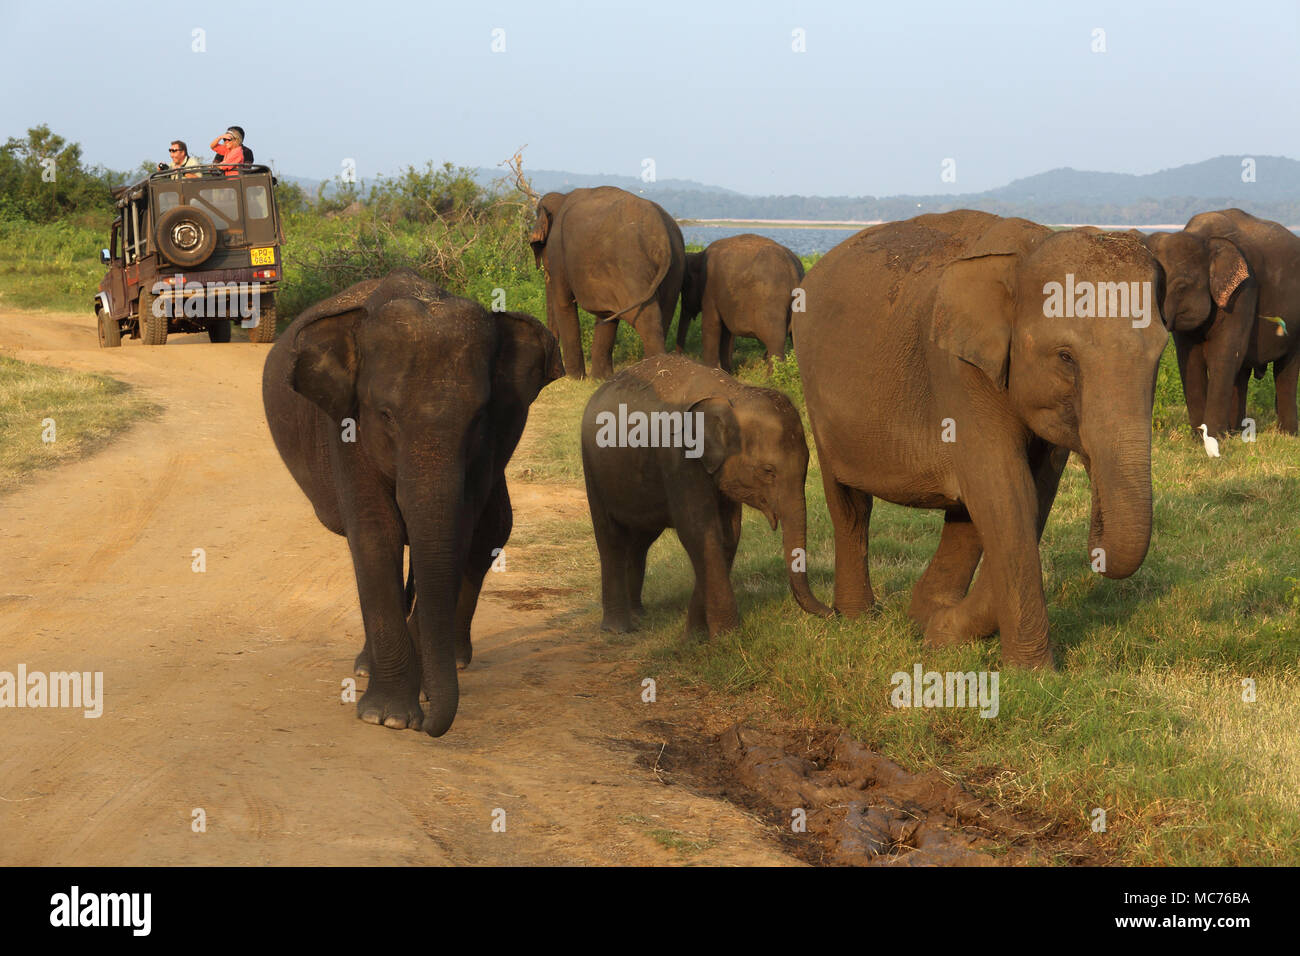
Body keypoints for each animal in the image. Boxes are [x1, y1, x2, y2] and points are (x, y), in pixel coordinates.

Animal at [263, 273, 564, 738]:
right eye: (386, 416)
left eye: (479, 417)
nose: (429, 727)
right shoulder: (346, 424)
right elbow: (376, 532)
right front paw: (387, 717)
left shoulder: (488, 446)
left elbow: (458, 532)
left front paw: (416, 699)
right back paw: (368, 668)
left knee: (491, 532)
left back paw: (452, 660)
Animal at [530, 184, 686, 379]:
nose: (557, 374)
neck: (562, 197)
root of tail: (662, 236)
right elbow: (606, 315)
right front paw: (600, 378)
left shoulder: (558, 253)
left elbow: (564, 302)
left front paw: (575, 378)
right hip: (675, 270)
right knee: (664, 315)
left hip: (632, 268)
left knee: (648, 321)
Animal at [582, 351, 826, 634]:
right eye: (768, 470)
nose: (832, 611)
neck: (731, 393)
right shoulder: (677, 456)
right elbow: (698, 530)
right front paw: (727, 635)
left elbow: (728, 533)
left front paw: (696, 634)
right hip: (592, 468)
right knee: (610, 538)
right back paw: (617, 628)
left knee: (641, 539)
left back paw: (638, 614)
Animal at [676, 234, 806, 374]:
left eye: (684, 287)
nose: (680, 356)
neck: (699, 255)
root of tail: (793, 268)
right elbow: (727, 332)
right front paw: (727, 372)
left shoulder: (710, 290)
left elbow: (711, 325)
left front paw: (710, 368)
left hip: (772, 303)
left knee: (775, 340)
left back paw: (771, 376)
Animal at [1180, 210, 1300, 434]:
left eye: (1184, 285)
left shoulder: (1245, 290)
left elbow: (1225, 352)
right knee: (1242, 373)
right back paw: (1237, 432)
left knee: (1286, 369)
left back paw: (1287, 434)